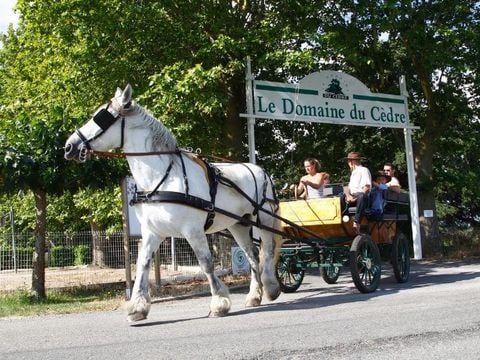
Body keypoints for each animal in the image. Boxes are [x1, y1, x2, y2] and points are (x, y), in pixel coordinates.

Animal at [63, 84, 282, 320]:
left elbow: (206, 263)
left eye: (101, 117)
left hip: (264, 220)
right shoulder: (152, 231)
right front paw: (138, 306)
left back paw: (271, 287)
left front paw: (219, 302)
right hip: (238, 225)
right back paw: (254, 296)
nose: (69, 146)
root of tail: (261, 170)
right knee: (252, 256)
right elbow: (143, 263)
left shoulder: (193, 230)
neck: (163, 177)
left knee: (268, 250)